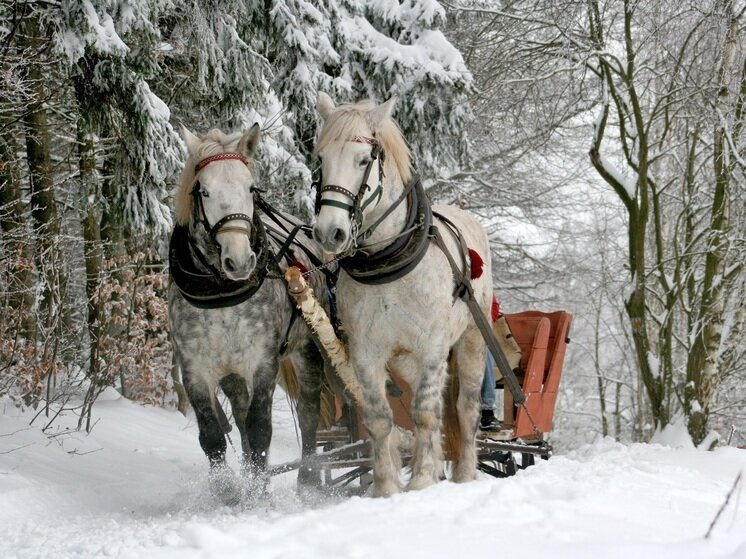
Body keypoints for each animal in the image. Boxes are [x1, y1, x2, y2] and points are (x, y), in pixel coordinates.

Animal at [310, 93, 492, 498]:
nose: (330, 232)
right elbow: (380, 418)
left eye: (364, 160)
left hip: (471, 339)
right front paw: (386, 487)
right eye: (321, 159)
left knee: (465, 408)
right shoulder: (365, 351)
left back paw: (464, 473)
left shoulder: (433, 346)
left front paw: (422, 479)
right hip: (405, 358)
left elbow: (425, 412)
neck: (388, 260)